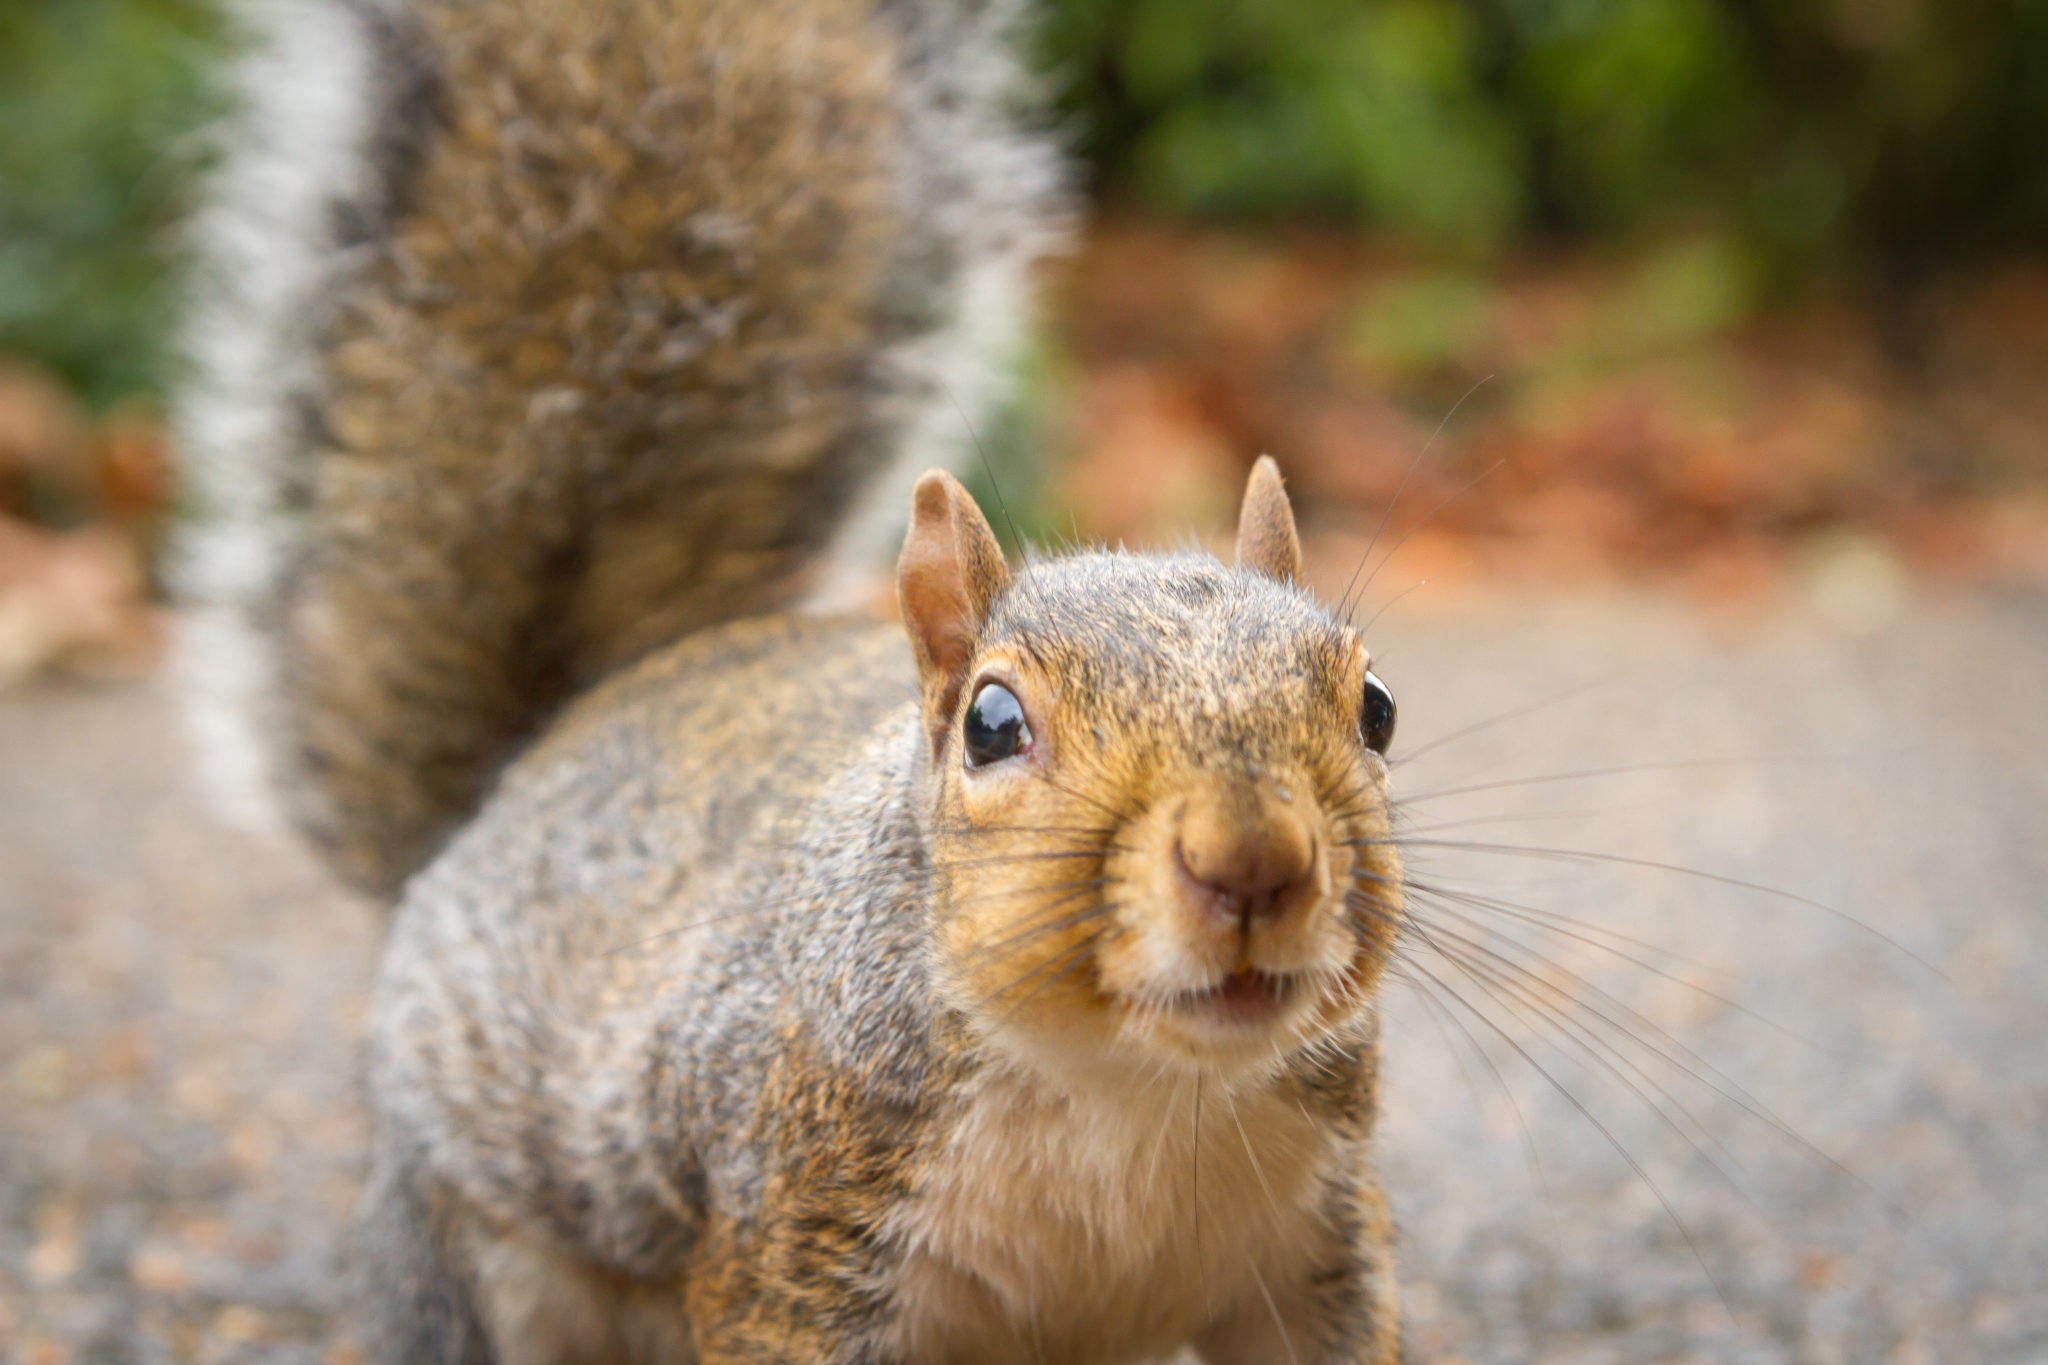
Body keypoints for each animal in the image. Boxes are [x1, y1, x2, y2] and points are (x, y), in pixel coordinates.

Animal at [174, 1, 1406, 1361]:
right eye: (990, 723)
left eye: (1375, 708)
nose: (1253, 864)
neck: (1131, 1086)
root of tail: (516, 775)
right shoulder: (791, 1234)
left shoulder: (1314, 1250)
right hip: (461, 1254)